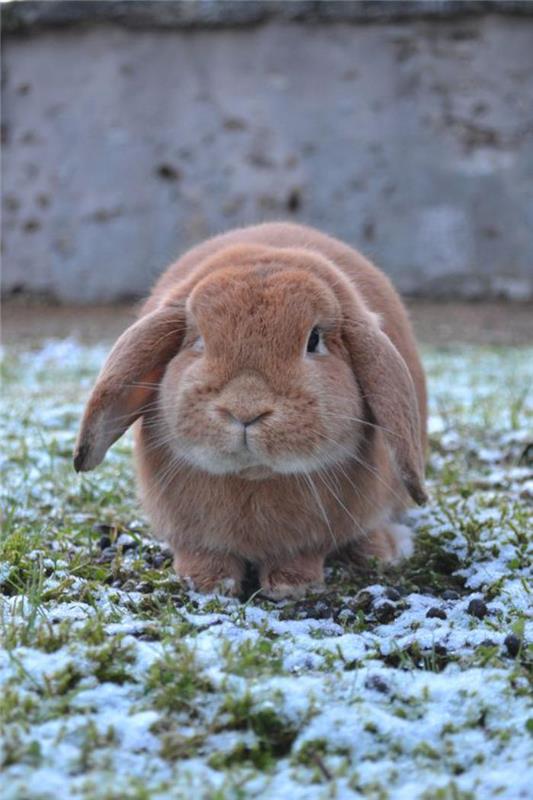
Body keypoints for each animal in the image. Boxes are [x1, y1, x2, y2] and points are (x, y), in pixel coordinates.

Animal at [75, 222, 426, 596]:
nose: (245, 410)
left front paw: (291, 586)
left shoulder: (309, 540)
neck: (252, 476)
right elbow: (202, 555)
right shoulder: (193, 537)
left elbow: (301, 557)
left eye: (314, 340)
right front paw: (207, 583)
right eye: (199, 341)